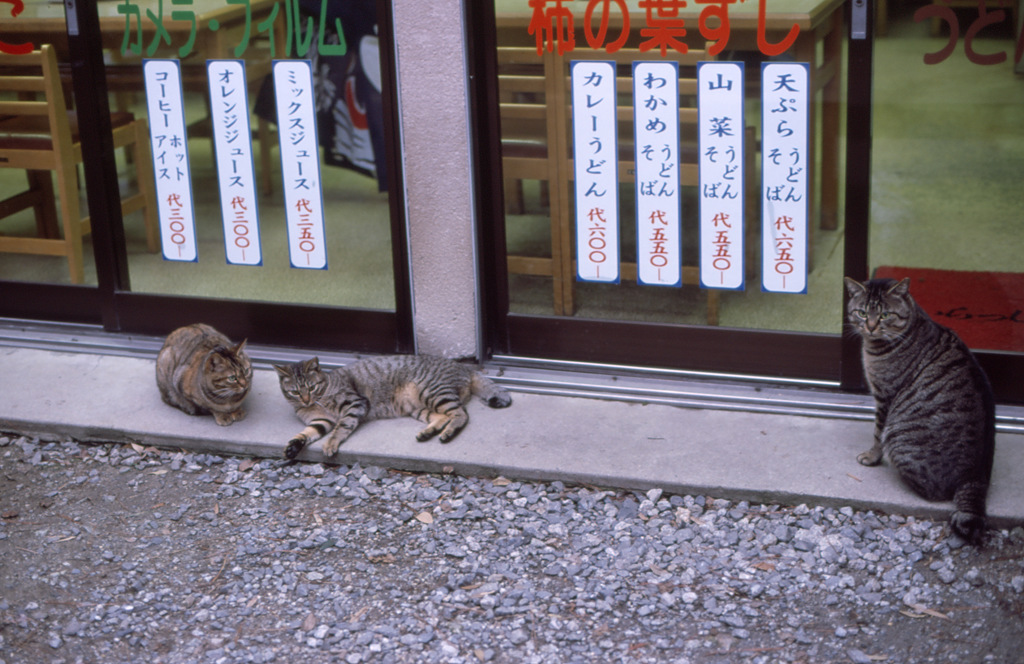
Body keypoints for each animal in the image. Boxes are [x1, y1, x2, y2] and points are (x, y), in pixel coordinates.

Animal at [276, 354, 512, 459]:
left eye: (312, 387)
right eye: (295, 392)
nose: (305, 399)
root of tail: (464, 367)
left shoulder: (355, 403)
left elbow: (341, 427)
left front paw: (331, 443)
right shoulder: (320, 420)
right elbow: (306, 433)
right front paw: (293, 446)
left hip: (432, 391)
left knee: (461, 414)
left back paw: (448, 433)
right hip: (420, 406)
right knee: (443, 416)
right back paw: (428, 432)